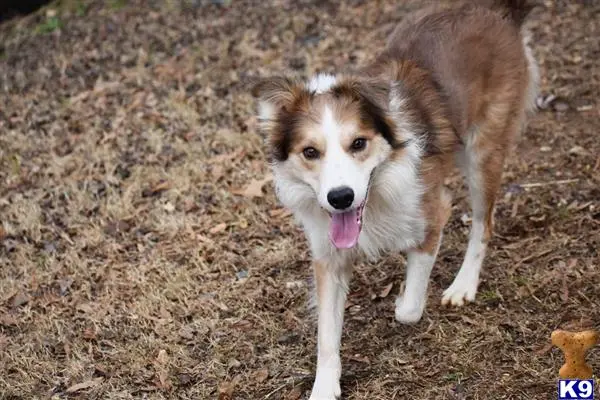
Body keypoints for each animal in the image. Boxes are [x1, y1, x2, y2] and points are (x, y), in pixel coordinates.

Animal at [253, 1, 540, 398]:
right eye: (310, 152)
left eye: (358, 143)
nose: (340, 198)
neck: (376, 192)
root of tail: (493, 10)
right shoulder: (329, 257)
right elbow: (326, 335)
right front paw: (325, 386)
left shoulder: (432, 214)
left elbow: (409, 309)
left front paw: (403, 296)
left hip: (483, 152)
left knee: (484, 224)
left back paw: (464, 285)